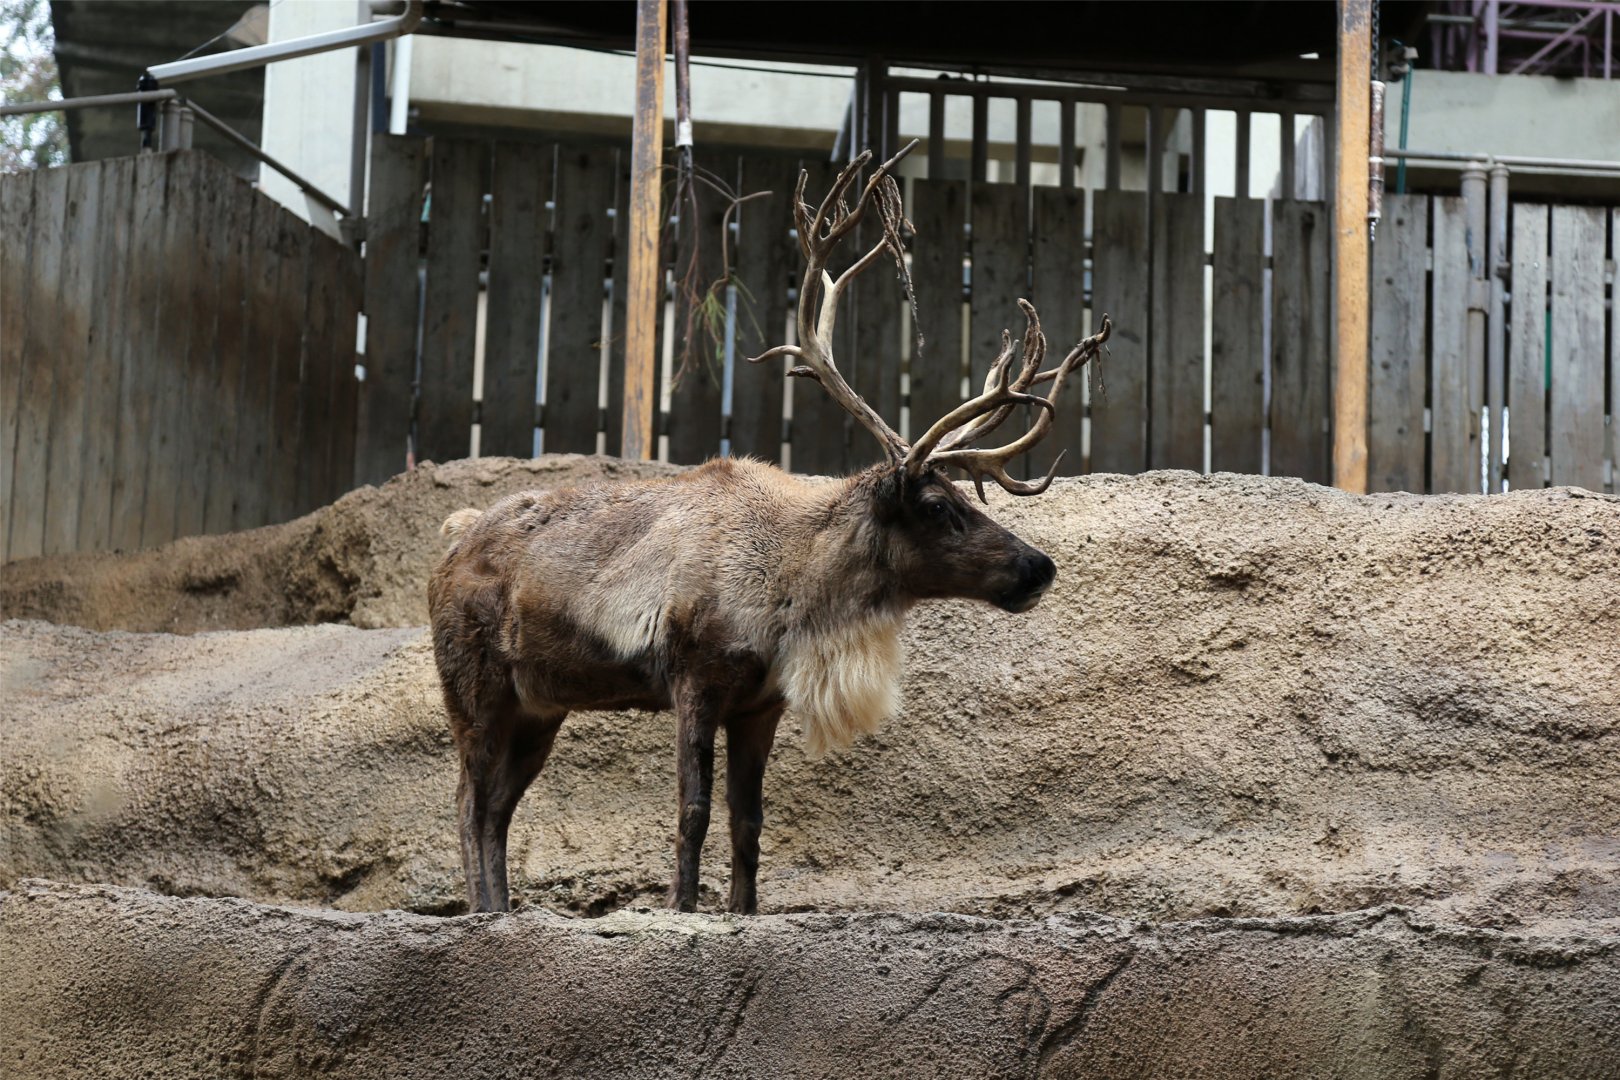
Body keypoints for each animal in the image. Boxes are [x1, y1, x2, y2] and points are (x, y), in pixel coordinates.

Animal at [428, 139, 1111, 915]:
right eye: (939, 506)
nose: (1039, 566)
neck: (796, 593)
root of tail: (450, 542)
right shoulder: (693, 678)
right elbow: (693, 809)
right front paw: (681, 908)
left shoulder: (760, 705)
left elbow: (748, 819)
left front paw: (743, 911)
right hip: (474, 687)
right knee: (469, 801)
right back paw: (483, 913)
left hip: (541, 705)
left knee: (498, 808)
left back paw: (500, 908)